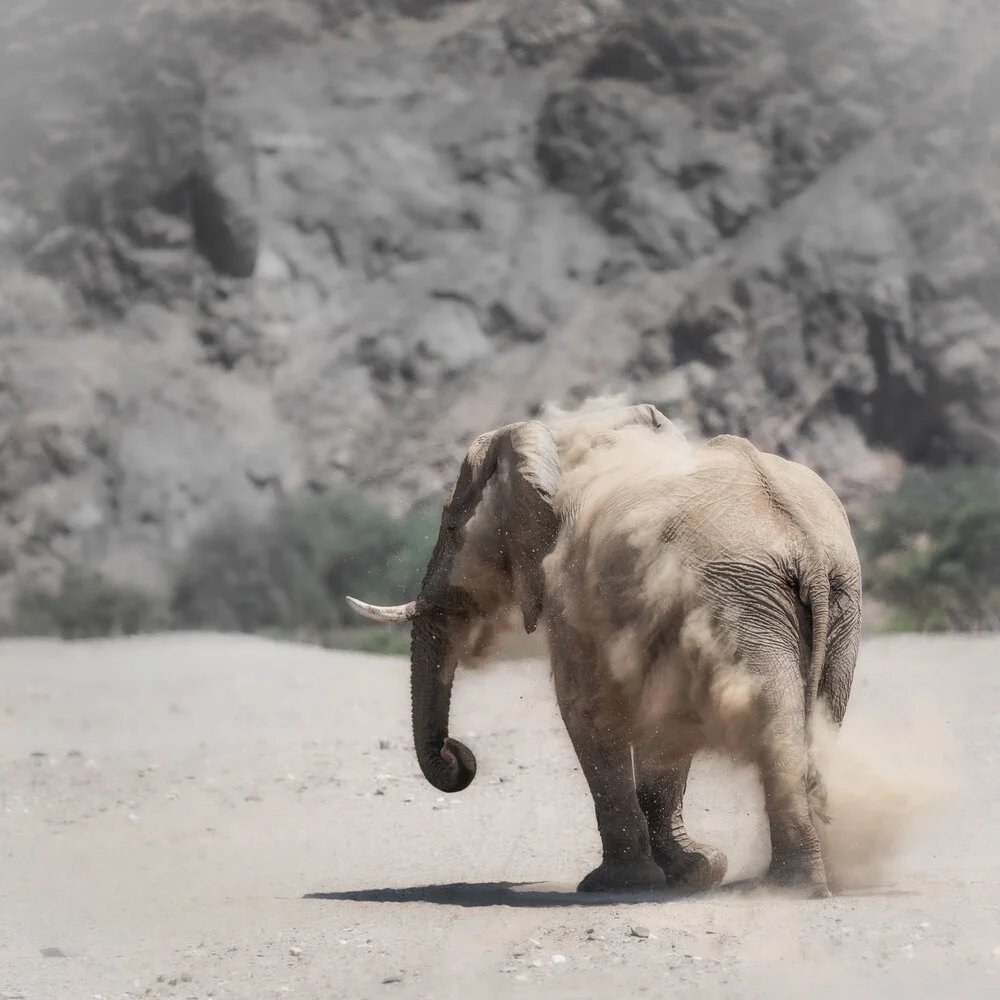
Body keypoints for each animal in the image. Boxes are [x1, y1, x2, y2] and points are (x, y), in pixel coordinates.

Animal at [348, 398, 864, 900]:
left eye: (454, 527)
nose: (457, 754)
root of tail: (801, 539)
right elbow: (659, 718)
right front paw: (693, 873)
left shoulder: (568, 585)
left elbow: (588, 709)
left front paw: (617, 883)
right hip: (833, 607)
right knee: (816, 717)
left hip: (742, 603)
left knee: (773, 724)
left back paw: (790, 889)